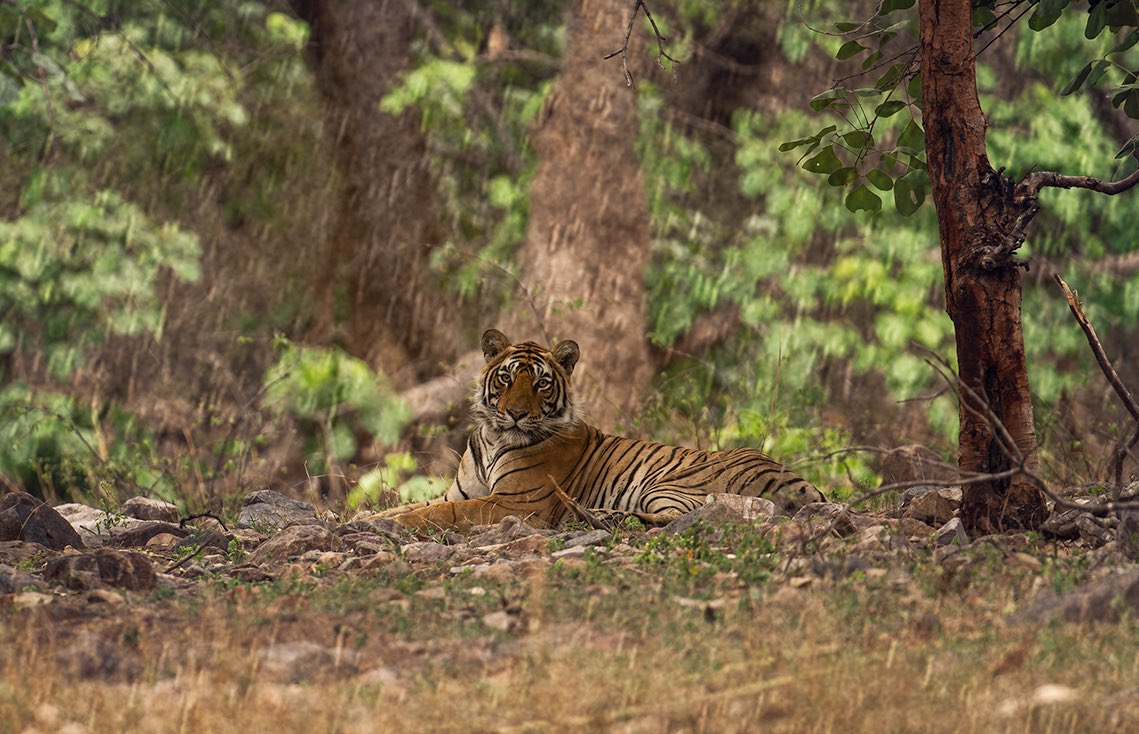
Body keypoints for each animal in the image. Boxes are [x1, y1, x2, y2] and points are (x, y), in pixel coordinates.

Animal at [378, 330, 824, 531]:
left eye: (540, 383)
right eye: (506, 378)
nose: (516, 414)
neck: (494, 437)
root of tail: (797, 479)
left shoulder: (516, 504)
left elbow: (442, 512)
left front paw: (402, 523)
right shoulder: (461, 491)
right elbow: (408, 505)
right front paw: (378, 518)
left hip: (669, 483)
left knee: (678, 516)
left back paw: (598, 515)